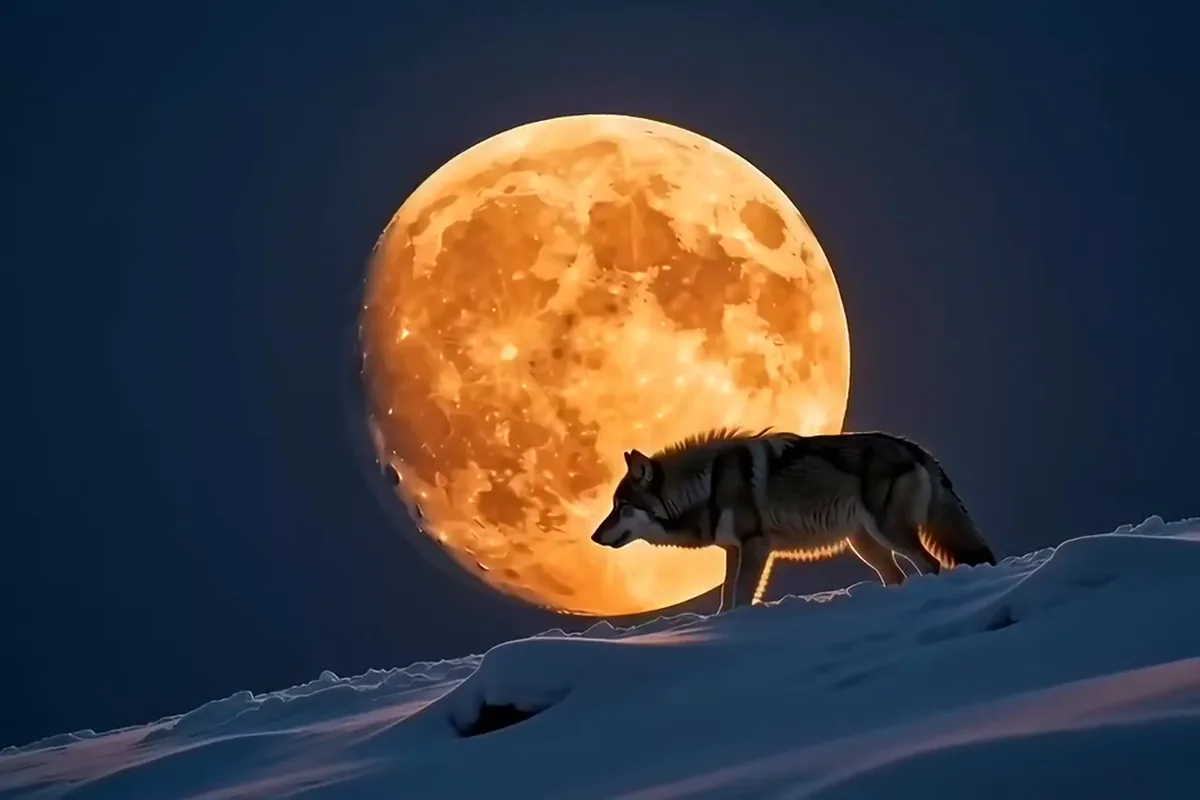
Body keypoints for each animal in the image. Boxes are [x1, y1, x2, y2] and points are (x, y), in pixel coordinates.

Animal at [590, 428, 997, 612]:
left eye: (620, 505)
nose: (594, 537)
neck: (707, 484)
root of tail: (914, 446)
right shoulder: (733, 550)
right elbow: (726, 596)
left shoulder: (757, 546)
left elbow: (742, 597)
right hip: (864, 545)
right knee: (898, 576)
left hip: (890, 534)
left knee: (930, 565)